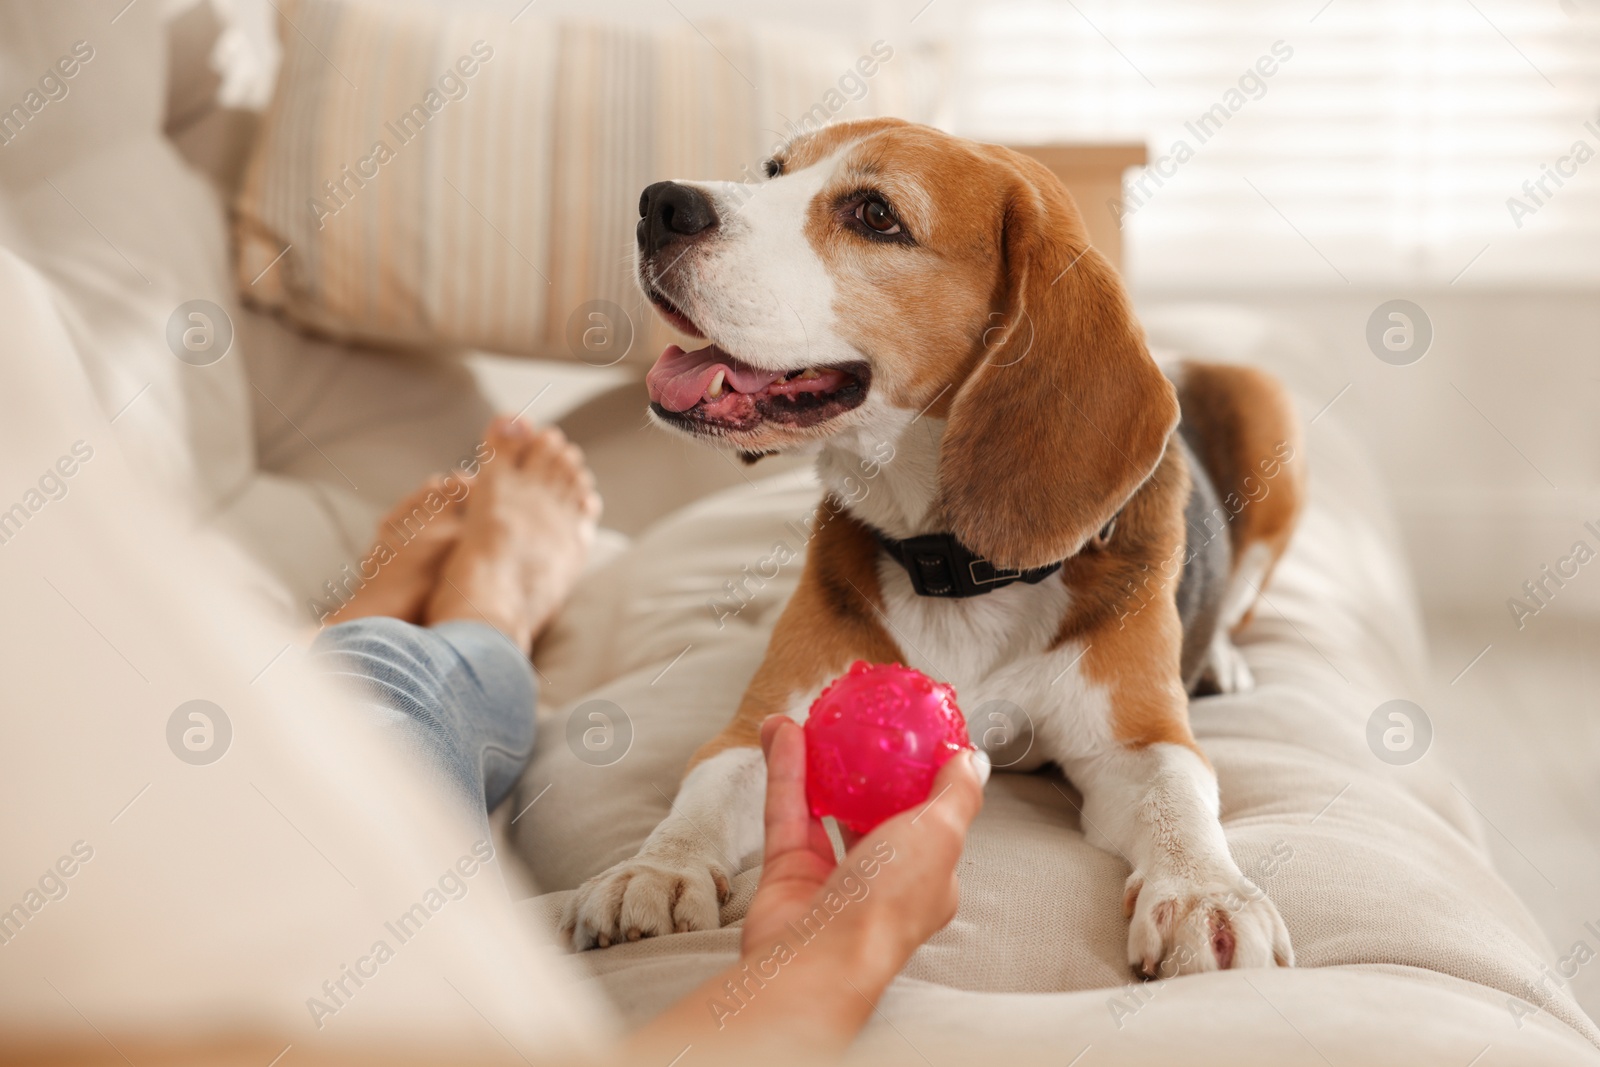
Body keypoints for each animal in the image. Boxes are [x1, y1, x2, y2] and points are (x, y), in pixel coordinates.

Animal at [563, 119, 1299, 979]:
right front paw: (656, 867)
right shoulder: (763, 725)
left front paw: (1208, 894)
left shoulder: (1140, 741)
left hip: (1269, 409)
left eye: (876, 214)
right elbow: (705, 791)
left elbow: (1177, 799)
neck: (957, 563)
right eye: (774, 170)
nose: (660, 204)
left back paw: (1222, 660)